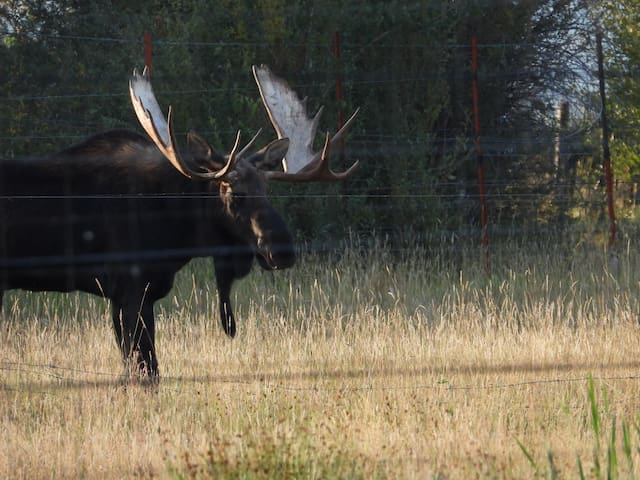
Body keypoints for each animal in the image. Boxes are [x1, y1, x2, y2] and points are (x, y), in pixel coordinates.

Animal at [0, 64, 358, 378]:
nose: (281, 249)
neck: (178, 231)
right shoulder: (132, 288)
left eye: (267, 190)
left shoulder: (122, 295)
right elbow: (147, 372)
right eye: (232, 192)